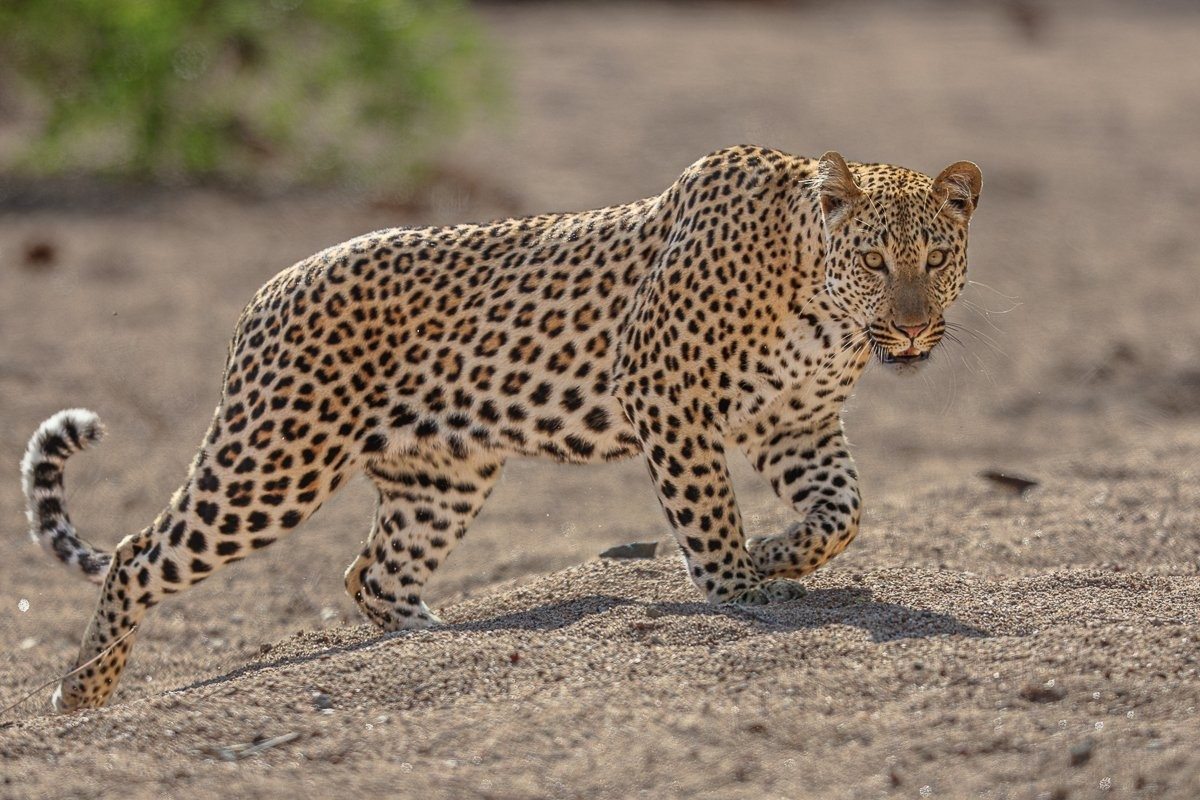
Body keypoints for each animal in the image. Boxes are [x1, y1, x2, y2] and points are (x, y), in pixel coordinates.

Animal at [20, 145, 982, 711]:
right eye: (875, 259)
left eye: (936, 258)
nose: (911, 330)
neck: (821, 305)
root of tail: (267, 290)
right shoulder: (665, 396)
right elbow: (709, 512)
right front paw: (739, 586)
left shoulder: (798, 420)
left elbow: (843, 511)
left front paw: (781, 554)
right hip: (276, 458)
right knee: (140, 553)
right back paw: (84, 691)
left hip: (442, 475)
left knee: (370, 571)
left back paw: (440, 641)